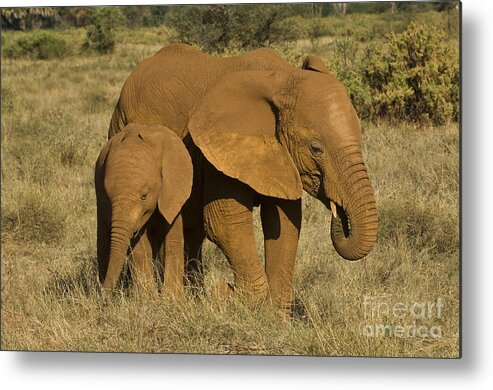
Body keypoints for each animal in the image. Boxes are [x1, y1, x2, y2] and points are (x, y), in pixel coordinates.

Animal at [94, 123, 192, 298]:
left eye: (144, 196)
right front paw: (148, 298)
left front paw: (172, 298)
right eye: (107, 196)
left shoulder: (173, 191)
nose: (102, 296)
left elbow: (172, 235)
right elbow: (139, 246)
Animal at [107, 44, 376, 314]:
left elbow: (285, 224)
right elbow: (224, 222)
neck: (284, 78)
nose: (338, 212)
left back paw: (193, 296)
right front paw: (229, 296)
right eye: (316, 148)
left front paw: (273, 319)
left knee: (192, 232)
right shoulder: (216, 154)